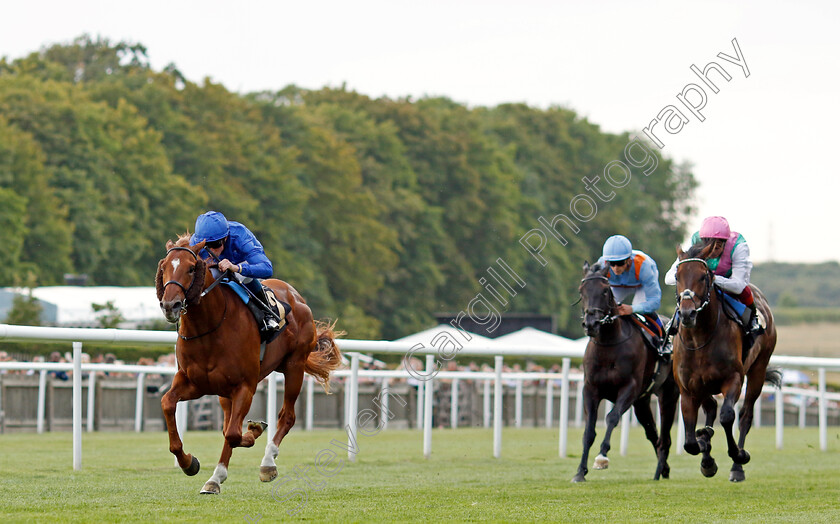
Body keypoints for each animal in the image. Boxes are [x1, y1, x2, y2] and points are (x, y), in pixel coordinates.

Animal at [156, 235, 342, 494]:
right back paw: (214, 479)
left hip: (294, 366)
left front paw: (254, 431)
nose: (170, 305)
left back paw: (267, 463)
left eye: (191, 268)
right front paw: (188, 462)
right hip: (224, 392)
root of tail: (296, 296)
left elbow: (234, 433)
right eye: (164, 267)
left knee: (286, 416)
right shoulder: (194, 382)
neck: (209, 327)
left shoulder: (245, 386)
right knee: (227, 425)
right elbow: (168, 403)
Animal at [572, 262, 684, 484]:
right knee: (653, 433)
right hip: (642, 401)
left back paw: (659, 471)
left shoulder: (629, 389)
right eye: (582, 291)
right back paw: (664, 469)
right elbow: (589, 431)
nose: (591, 324)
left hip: (669, 394)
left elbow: (612, 418)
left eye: (605, 291)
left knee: (665, 437)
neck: (609, 345)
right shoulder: (591, 389)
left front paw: (601, 457)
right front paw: (580, 471)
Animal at [668, 244, 780, 482]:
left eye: (703, 276)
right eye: (677, 275)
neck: (700, 339)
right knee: (710, 407)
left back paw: (737, 466)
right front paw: (705, 450)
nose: (687, 313)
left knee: (746, 414)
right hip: (703, 387)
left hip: (758, 368)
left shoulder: (733, 378)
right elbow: (690, 442)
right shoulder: (688, 388)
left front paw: (738, 455)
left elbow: (728, 416)